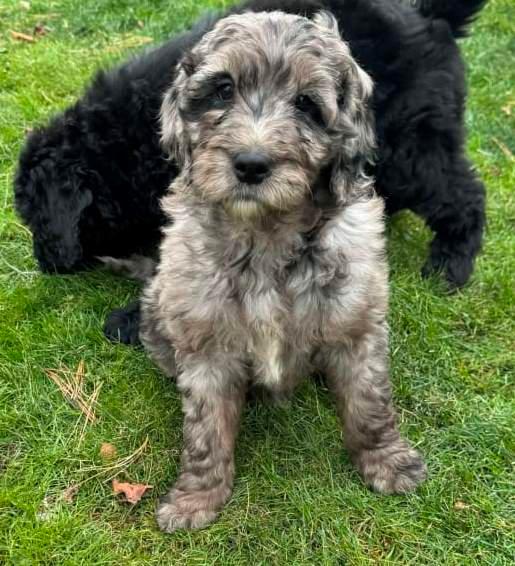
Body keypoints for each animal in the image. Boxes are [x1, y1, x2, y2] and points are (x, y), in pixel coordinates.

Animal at [13, 1, 488, 292]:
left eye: (36, 220)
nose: (45, 263)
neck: (124, 139)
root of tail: (431, 18)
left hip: (410, 147)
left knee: (464, 194)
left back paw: (450, 265)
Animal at [137, 11, 428, 536]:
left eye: (307, 105)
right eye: (222, 90)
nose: (251, 165)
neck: (266, 236)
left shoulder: (357, 324)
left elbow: (370, 402)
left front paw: (387, 462)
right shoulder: (205, 341)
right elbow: (205, 427)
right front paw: (197, 497)